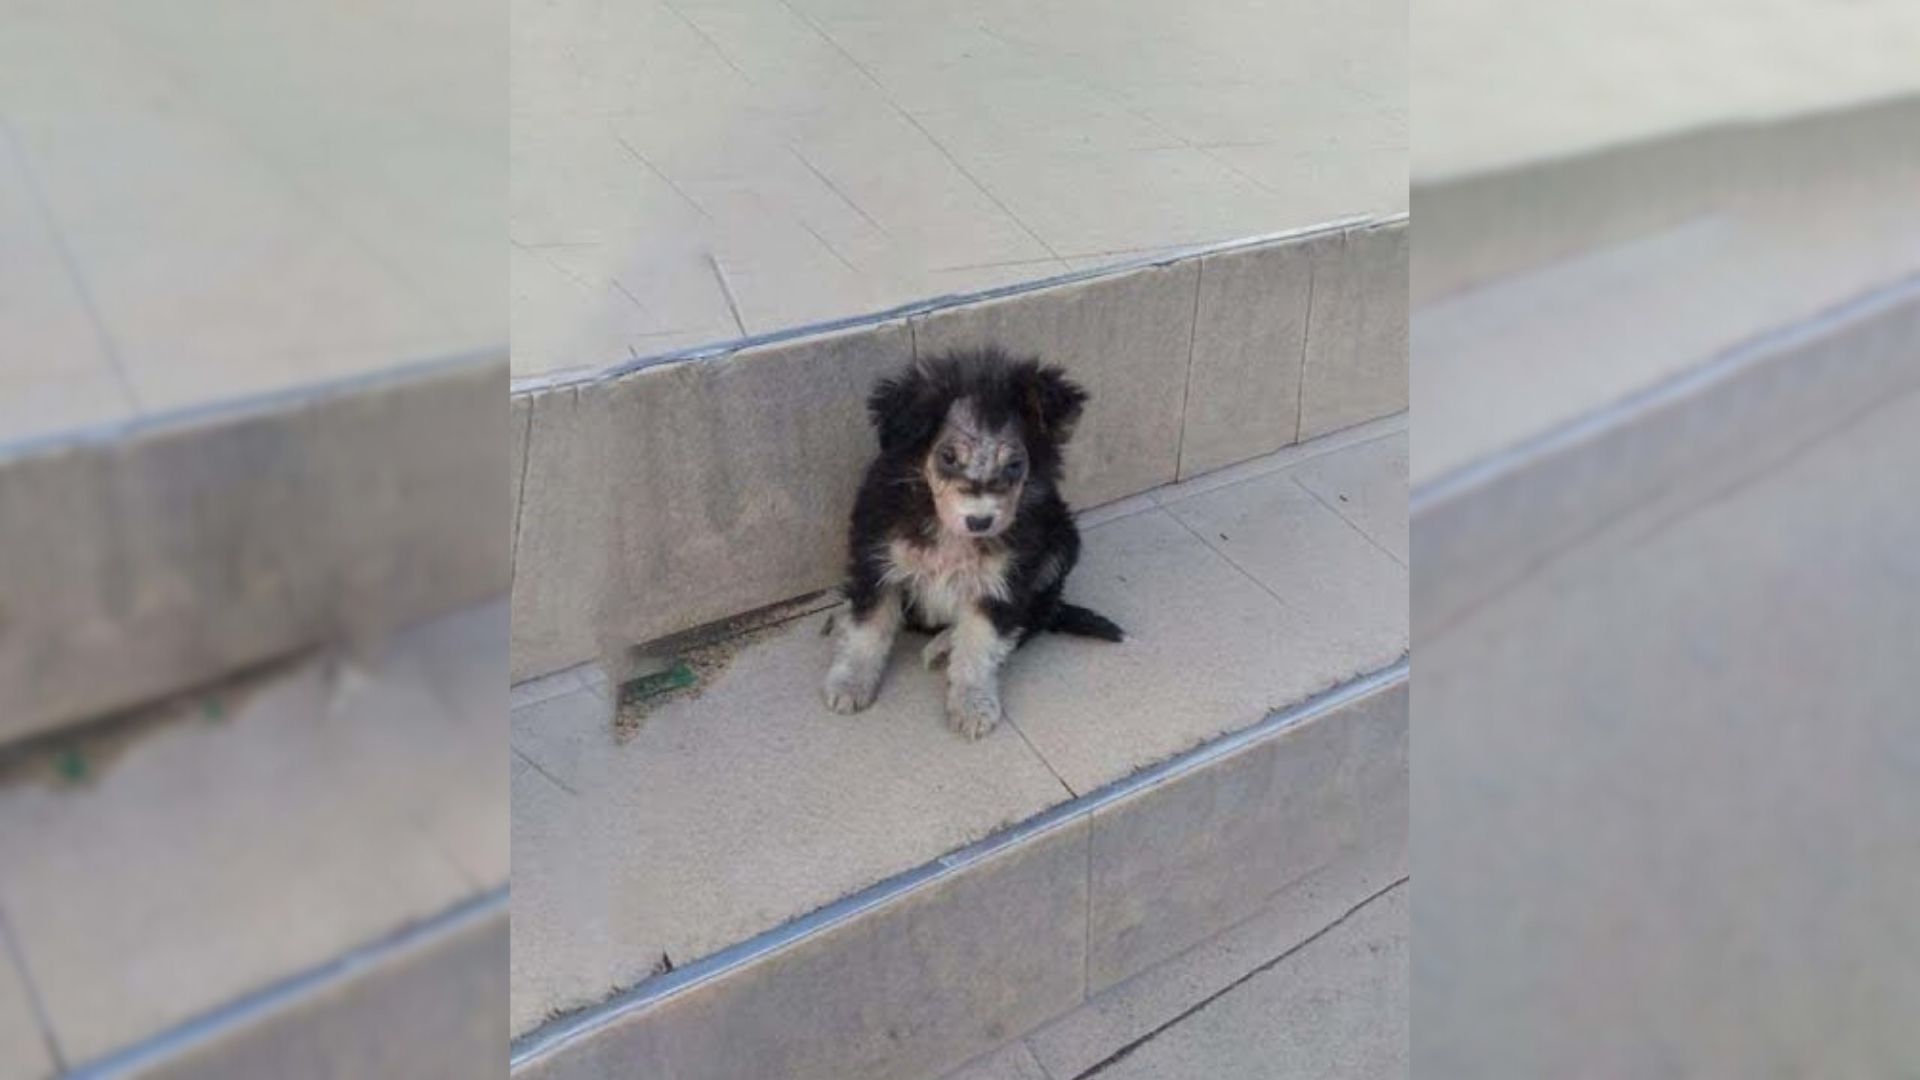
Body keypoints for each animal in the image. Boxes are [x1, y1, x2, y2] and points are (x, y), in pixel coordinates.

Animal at [817, 343, 1121, 730]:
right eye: (948, 457)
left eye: (1014, 465)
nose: (980, 521)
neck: (947, 530)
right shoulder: (878, 560)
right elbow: (867, 629)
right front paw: (850, 683)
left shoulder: (1002, 582)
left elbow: (980, 644)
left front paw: (972, 704)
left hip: (1060, 545)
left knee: (1032, 619)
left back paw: (945, 644)